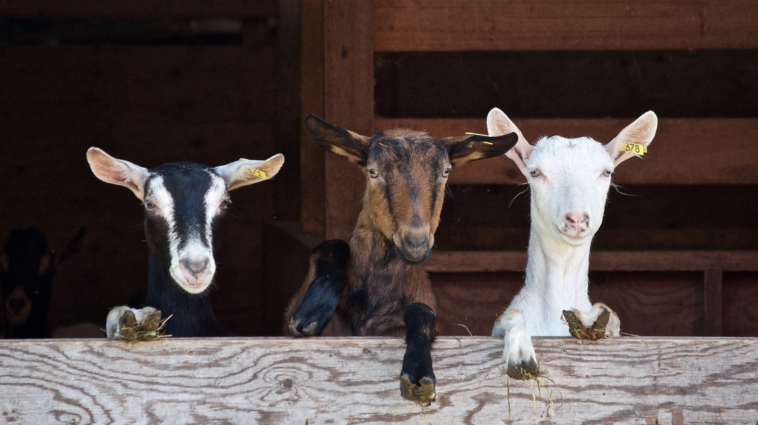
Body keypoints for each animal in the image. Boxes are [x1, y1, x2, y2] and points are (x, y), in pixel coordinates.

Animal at [288, 113, 520, 404]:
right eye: (373, 171)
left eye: (446, 172)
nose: (416, 242)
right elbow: (332, 246)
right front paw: (312, 311)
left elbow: (422, 312)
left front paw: (418, 373)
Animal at [490, 107, 656, 376]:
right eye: (535, 172)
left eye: (607, 172)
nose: (576, 219)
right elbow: (509, 316)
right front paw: (520, 355)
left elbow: (612, 317)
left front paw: (591, 319)